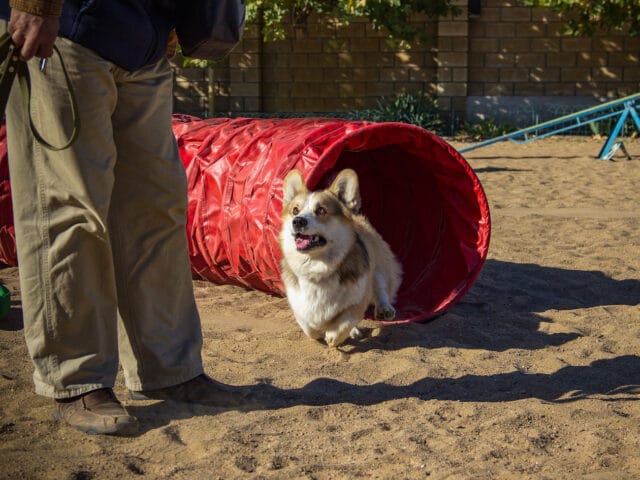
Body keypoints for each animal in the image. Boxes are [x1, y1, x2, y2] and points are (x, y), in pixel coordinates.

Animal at [278, 167, 402, 346]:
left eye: (321, 210)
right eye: (295, 210)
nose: (298, 221)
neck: (317, 265)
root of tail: (355, 214)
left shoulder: (358, 299)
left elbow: (345, 321)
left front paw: (333, 336)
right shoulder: (298, 304)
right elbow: (309, 327)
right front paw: (319, 331)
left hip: (379, 264)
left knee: (382, 288)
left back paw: (384, 309)